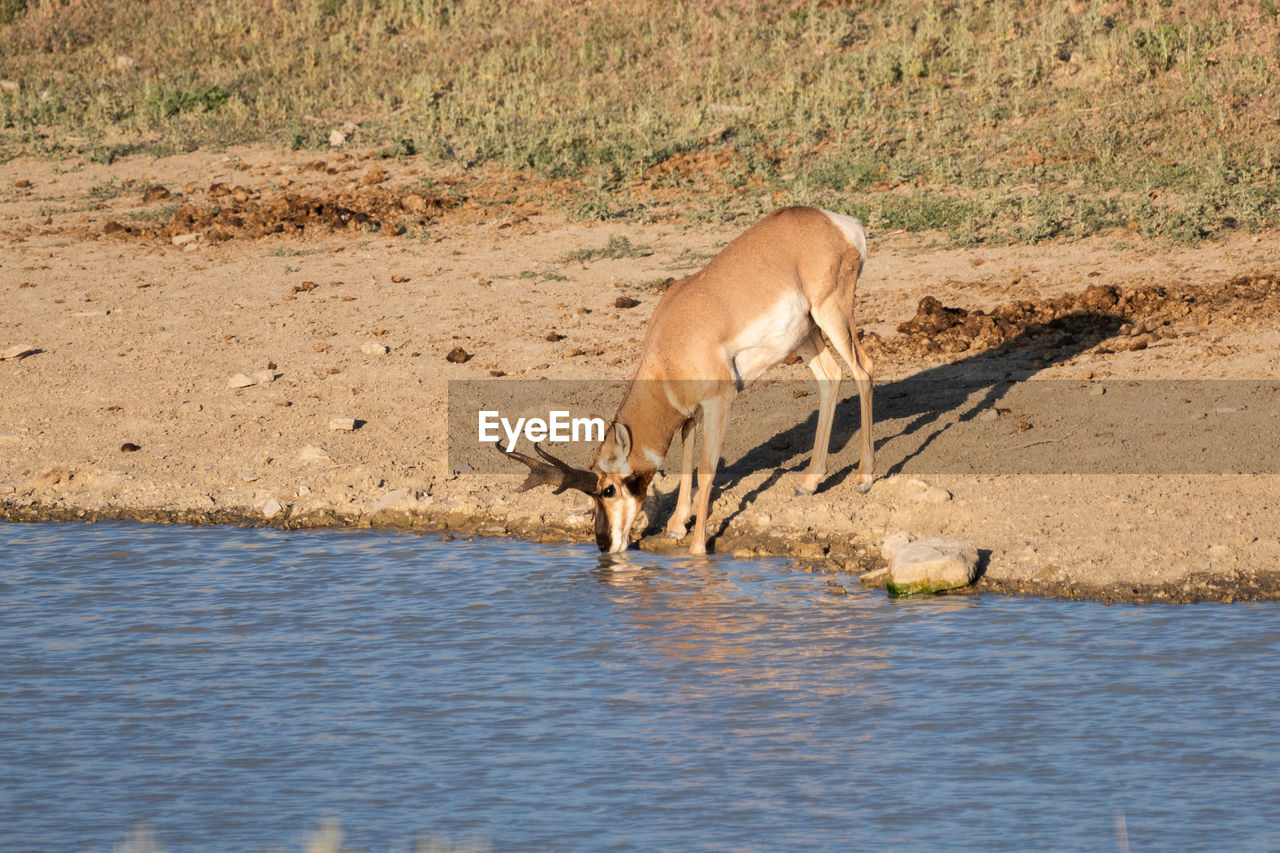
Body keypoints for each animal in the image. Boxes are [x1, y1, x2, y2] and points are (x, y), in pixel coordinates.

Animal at [504, 204, 875, 550]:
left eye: (608, 489)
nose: (603, 543)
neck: (671, 340)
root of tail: (836, 222)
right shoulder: (691, 412)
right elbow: (686, 459)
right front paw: (676, 525)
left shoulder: (721, 401)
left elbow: (706, 467)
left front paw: (697, 549)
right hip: (806, 335)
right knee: (831, 376)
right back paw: (808, 484)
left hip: (832, 314)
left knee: (864, 370)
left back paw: (864, 478)